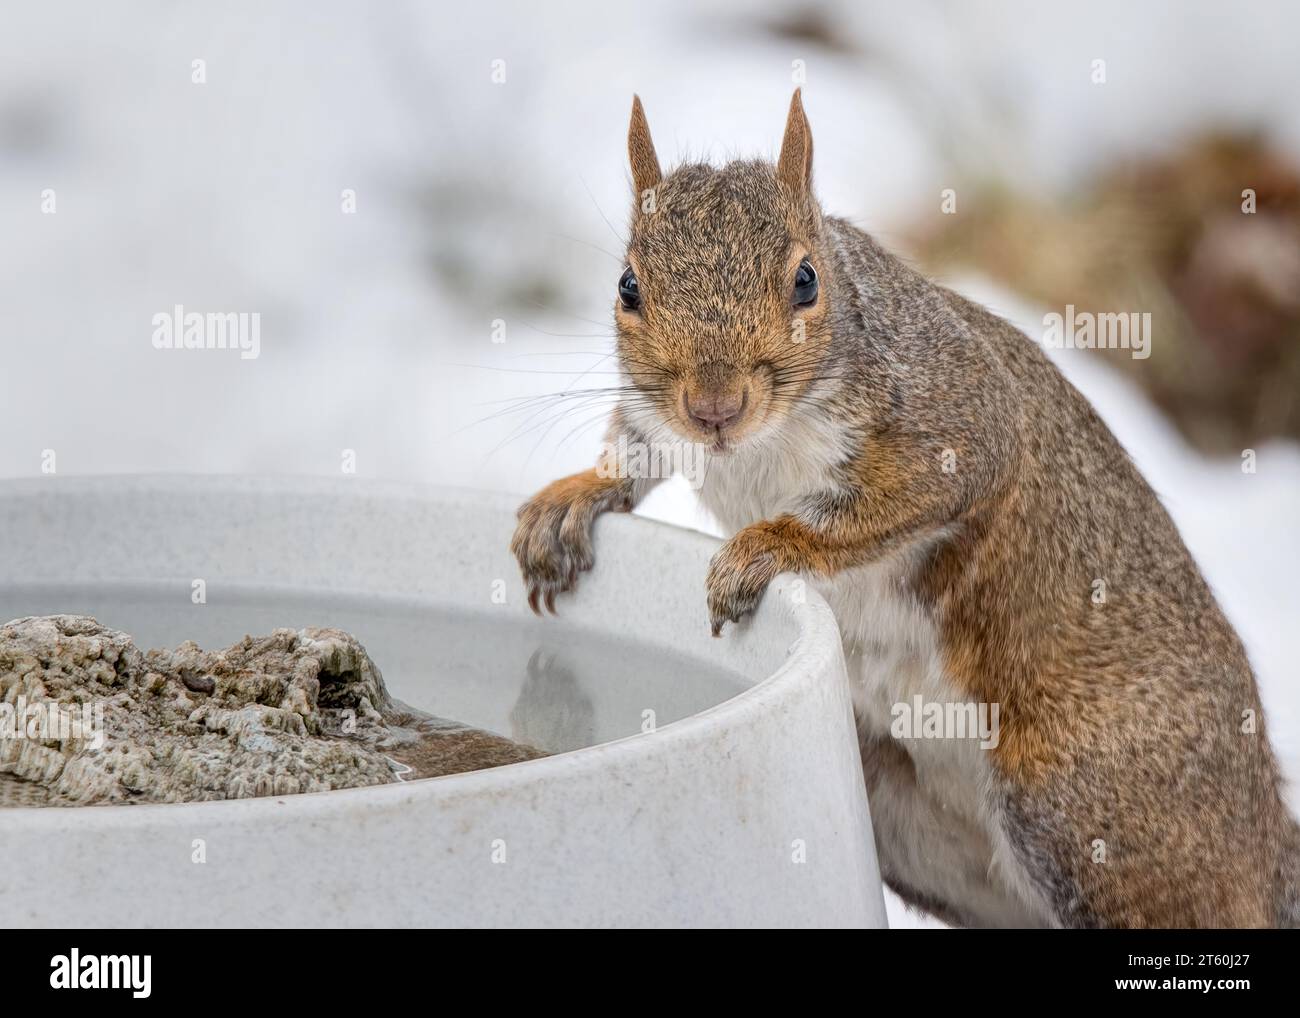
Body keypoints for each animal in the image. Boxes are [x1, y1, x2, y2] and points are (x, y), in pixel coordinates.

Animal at [509, 91, 1300, 925]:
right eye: (628, 287)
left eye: (806, 281)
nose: (713, 405)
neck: (753, 449)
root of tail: (1267, 837)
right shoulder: (663, 420)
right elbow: (641, 448)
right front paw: (575, 498)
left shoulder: (955, 417)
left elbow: (889, 501)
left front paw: (770, 544)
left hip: (1091, 806)